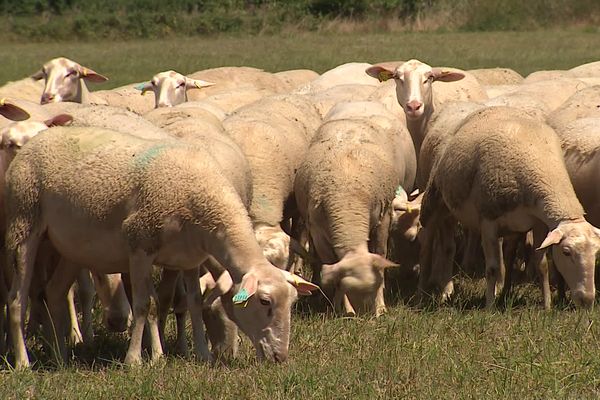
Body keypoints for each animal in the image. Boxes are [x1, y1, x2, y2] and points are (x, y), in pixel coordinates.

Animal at [5, 126, 318, 368]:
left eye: (293, 302)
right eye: (265, 302)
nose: (280, 357)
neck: (202, 199)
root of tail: (40, 137)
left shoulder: (190, 258)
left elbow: (193, 303)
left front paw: (201, 354)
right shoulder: (140, 246)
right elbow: (145, 304)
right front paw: (135, 360)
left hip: (70, 247)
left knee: (54, 293)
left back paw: (60, 356)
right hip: (23, 223)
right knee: (17, 299)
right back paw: (23, 362)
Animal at [292, 100, 414, 316]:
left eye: (373, 288)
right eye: (348, 287)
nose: (365, 315)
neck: (348, 206)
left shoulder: (383, 219)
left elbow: (380, 256)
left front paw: (380, 307)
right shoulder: (319, 233)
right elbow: (331, 265)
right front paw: (340, 308)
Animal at [422, 106, 600, 310]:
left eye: (596, 253)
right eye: (566, 252)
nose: (587, 301)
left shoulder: (538, 223)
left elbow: (541, 265)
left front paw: (547, 306)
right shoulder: (488, 220)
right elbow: (492, 268)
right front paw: (489, 307)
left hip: (460, 211)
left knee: (449, 247)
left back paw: (450, 290)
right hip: (436, 199)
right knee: (430, 242)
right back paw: (428, 290)